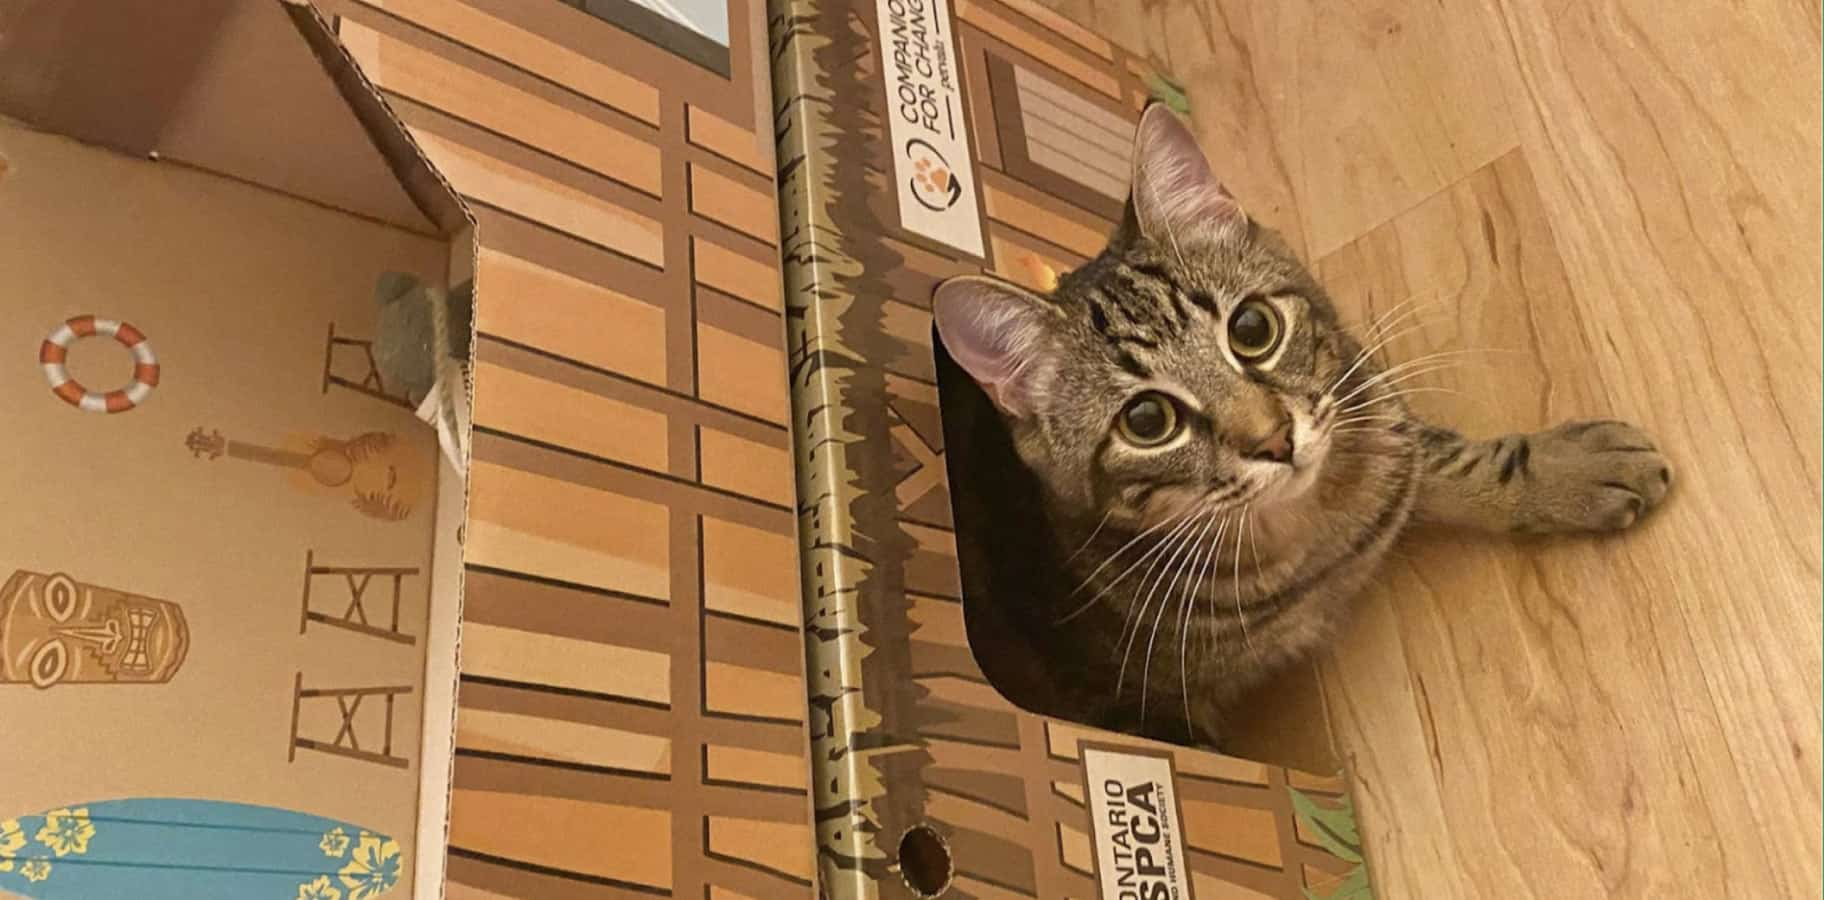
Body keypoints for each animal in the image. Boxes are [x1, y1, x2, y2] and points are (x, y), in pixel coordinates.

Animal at [933, 103, 1670, 744]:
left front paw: (1570, 470)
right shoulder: (1143, 709)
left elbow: (1447, 457)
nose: (1273, 440)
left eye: (1252, 329)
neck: (1312, 540)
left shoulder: (1373, 419)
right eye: (1147, 419)